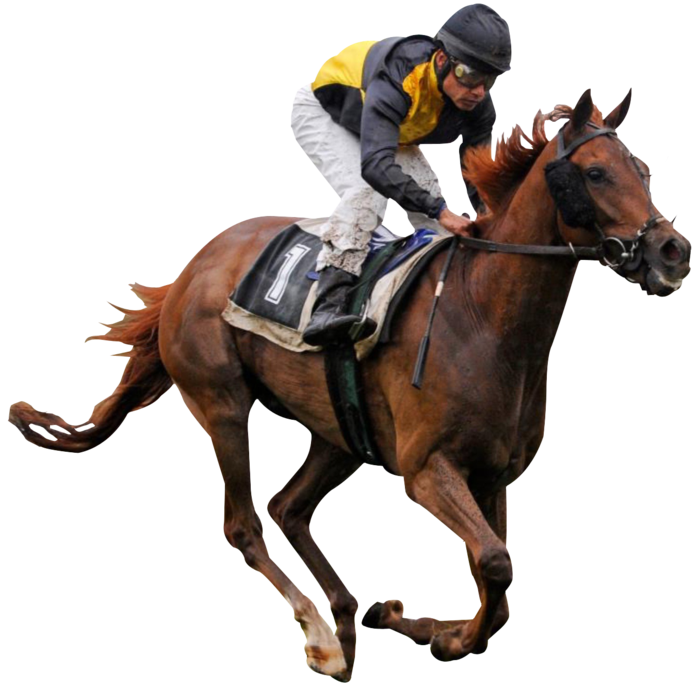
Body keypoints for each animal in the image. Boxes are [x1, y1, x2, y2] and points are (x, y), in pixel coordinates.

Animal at [7, 87, 690, 681]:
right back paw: (323, 639)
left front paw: (413, 624)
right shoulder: (428, 470)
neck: (485, 317)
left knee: (288, 507)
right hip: (220, 403)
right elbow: (496, 564)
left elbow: (495, 585)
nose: (672, 251)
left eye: (645, 171)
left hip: (339, 433)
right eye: (597, 173)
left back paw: (346, 617)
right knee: (245, 526)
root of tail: (193, 267)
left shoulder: (494, 475)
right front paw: (439, 636)